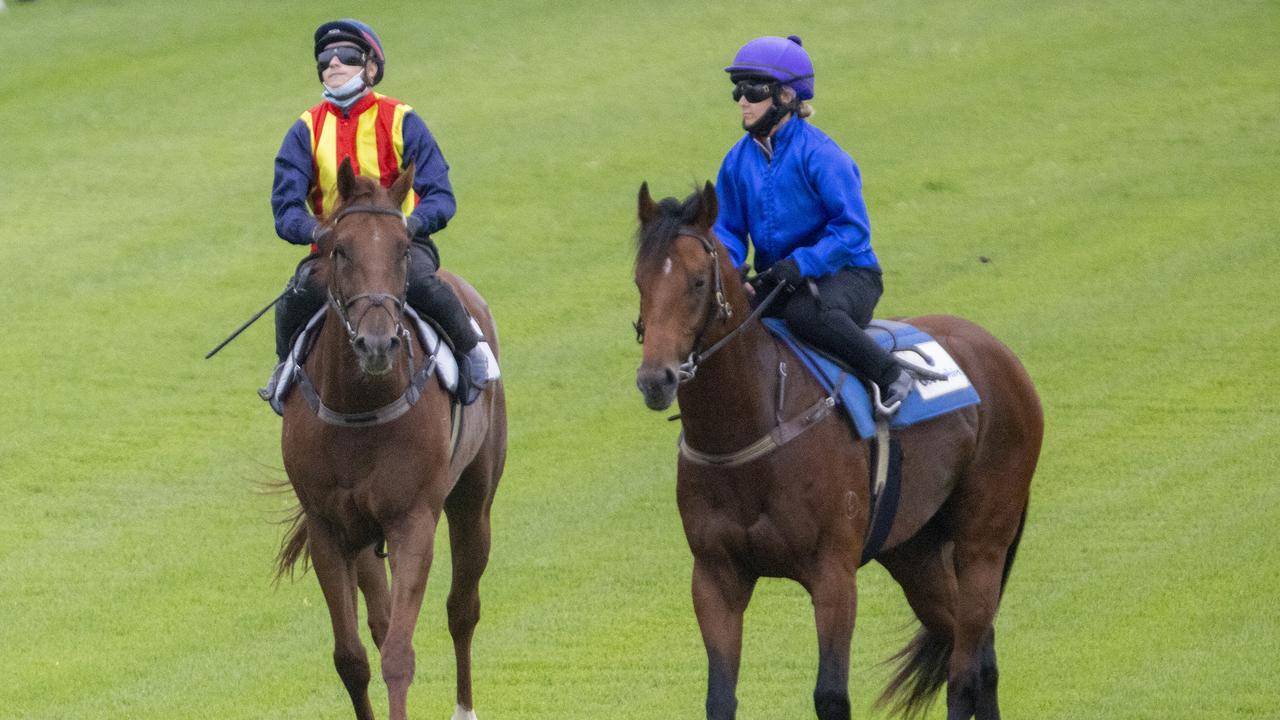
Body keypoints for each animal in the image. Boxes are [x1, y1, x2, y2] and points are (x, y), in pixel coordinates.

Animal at [275, 158, 504, 717]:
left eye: (402, 249)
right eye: (340, 248)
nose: (376, 344)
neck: (361, 407)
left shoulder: (412, 520)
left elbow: (399, 653)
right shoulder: (330, 528)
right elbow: (353, 657)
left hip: (474, 499)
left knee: (462, 608)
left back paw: (465, 706)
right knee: (379, 623)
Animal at [629, 183, 1039, 717]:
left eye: (698, 282)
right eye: (639, 281)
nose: (656, 379)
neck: (755, 427)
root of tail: (1001, 355)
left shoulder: (833, 575)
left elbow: (830, 694)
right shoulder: (716, 576)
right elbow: (719, 698)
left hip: (983, 542)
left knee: (964, 670)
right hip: (916, 552)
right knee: (978, 653)